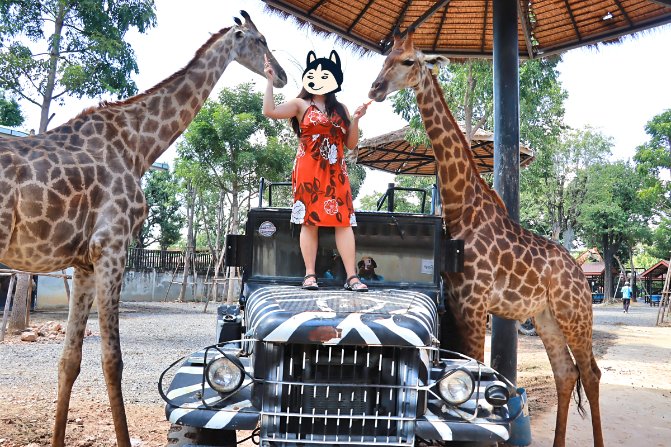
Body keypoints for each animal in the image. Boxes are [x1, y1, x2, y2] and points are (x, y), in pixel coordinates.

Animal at [0, 11, 286, 447]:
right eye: (260, 40)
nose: (283, 75)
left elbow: (70, 359)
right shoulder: (112, 247)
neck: (138, 146)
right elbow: (112, 361)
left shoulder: (84, 263)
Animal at [370, 32, 608, 447]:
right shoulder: (456, 301)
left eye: (408, 62)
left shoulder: (475, 302)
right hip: (546, 317)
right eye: (385, 59)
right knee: (566, 373)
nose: (375, 88)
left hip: (575, 314)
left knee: (591, 373)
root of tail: (581, 274)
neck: (461, 208)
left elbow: (475, 378)